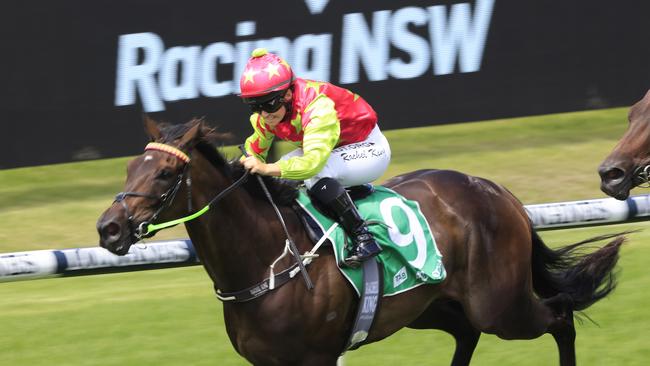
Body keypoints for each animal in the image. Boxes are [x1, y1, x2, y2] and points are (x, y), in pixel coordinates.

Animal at [97, 118, 624, 364]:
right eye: (130, 167)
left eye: (165, 174)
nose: (109, 228)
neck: (266, 262)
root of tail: (497, 191)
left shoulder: (315, 358)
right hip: (427, 304)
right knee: (467, 334)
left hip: (499, 305)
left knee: (559, 317)